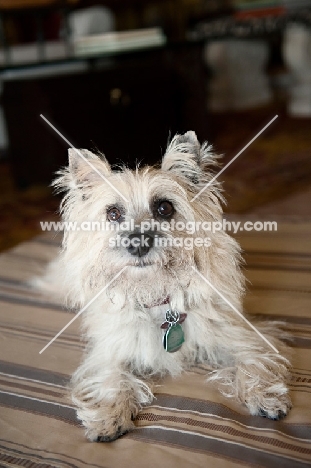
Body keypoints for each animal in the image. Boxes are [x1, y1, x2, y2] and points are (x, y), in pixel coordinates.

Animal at [45, 131, 292, 438]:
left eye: (164, 208)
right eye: (113, 213)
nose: (138, 242)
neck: (157, 296)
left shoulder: (239, 333)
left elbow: (253, 361)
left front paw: (265, 396)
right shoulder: (110, 350)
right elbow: (111, 376)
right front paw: (109, 414)